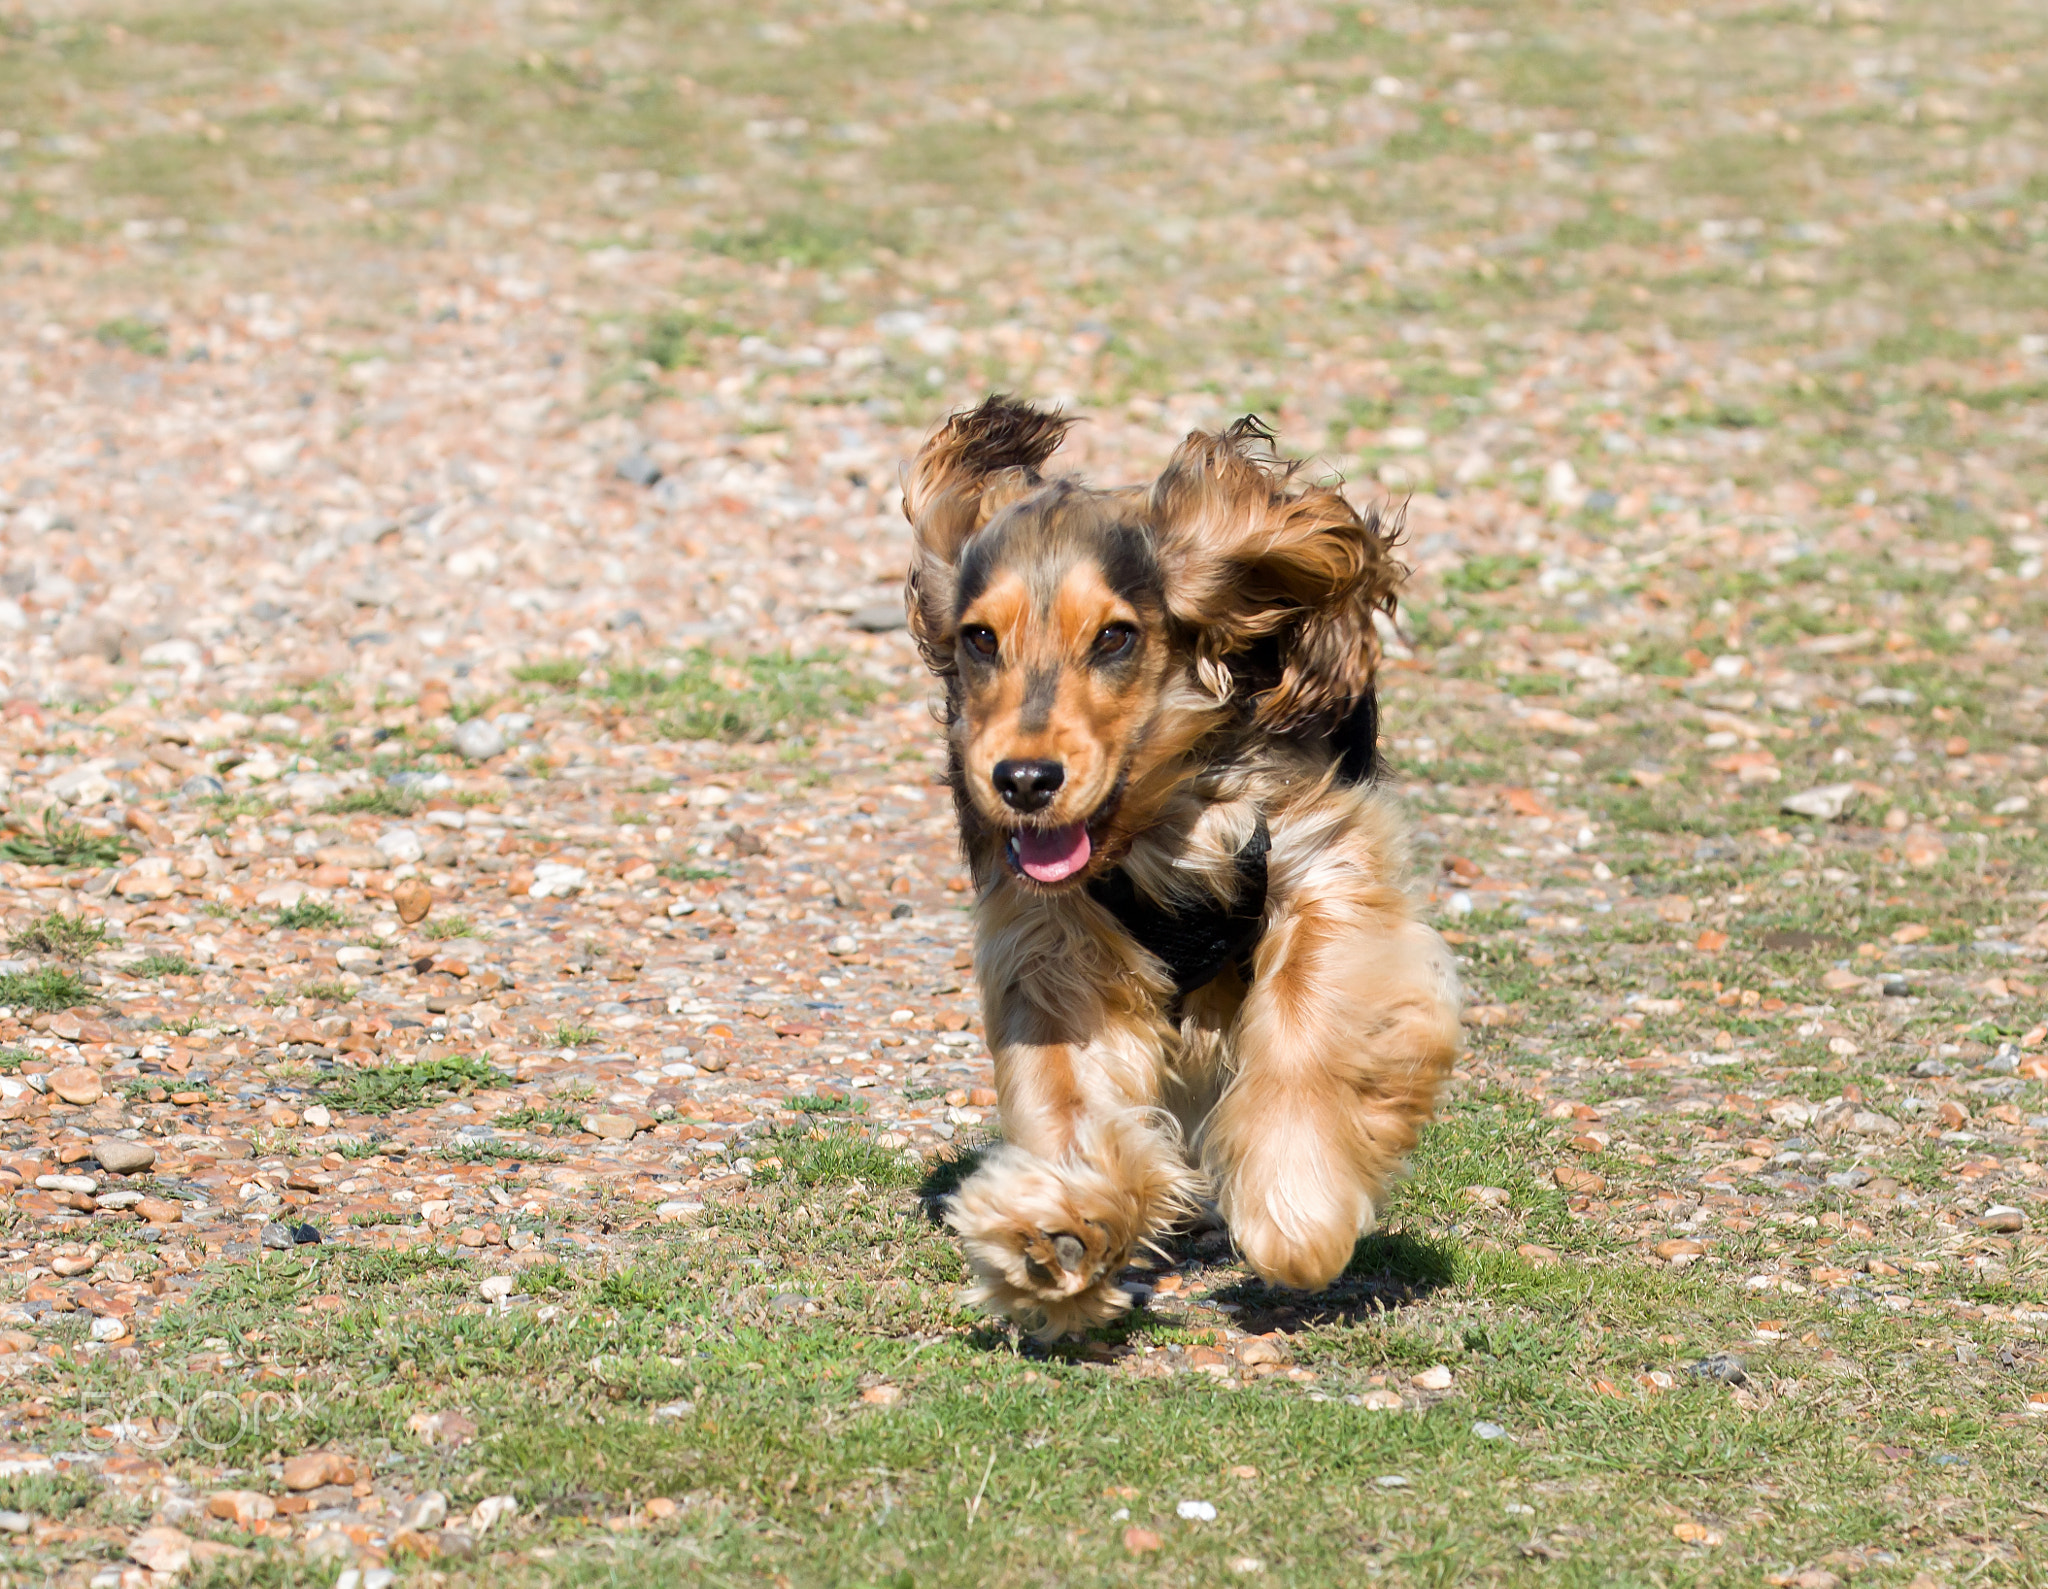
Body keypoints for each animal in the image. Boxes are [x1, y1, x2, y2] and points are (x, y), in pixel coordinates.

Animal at [905, 401, 1466, 1343]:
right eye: (980, 638)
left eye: (1115, 636)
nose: (1024, 781)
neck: (1156, 815)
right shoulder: (1055, 940)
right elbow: (1072, 1093)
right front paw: (1056, 1230)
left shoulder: (1323, 858)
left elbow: (1310, 1018)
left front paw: (1296, 1206)